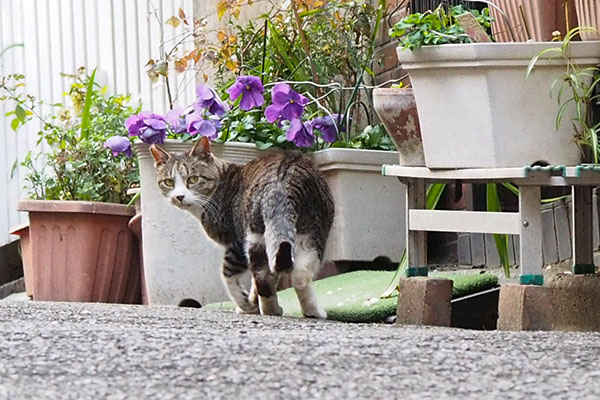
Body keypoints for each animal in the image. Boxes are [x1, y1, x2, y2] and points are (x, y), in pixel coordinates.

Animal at [150, 138, 336, 318]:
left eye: (193, 179)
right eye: (169, 182)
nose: (179, 197)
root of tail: (279, 181)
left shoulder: (235, 243)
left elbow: (235, 277)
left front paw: (248, 304)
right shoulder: (239, 243)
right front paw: (249, 305)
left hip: (261, 233)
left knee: (265, 274)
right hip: (304, 232)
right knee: (293, 275)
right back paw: (300, 312)